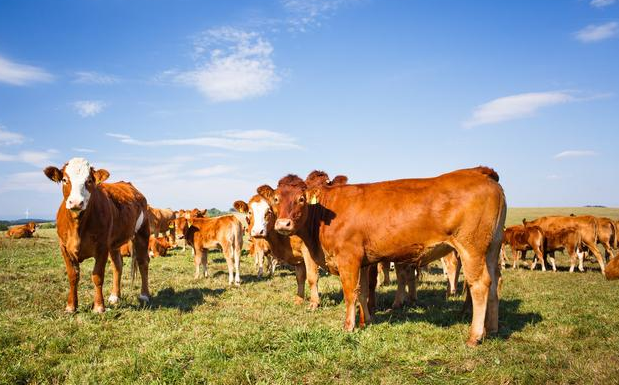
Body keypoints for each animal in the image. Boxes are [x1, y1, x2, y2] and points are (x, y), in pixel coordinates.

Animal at [44, 158, 151, 310]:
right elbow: (73, 276)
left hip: (142, 232)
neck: (78, 226)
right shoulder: (64, 247)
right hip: (114, 243)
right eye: (64, 179)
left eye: (89, 180)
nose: (76, 202)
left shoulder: (102, 246)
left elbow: (97, 276)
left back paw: (144, 295)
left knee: (143, 262)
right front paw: (71, 306)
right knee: (117, 265)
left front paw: (99, 306)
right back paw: (115, 296)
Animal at [266, 166, 504, 346]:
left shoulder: (348, 258)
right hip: (492, 248)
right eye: (276, 199)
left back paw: (475, 336)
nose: (283, 224)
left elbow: (350, 293)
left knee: (479, 285)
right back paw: (492, 329)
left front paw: (349, 326)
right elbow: (362, 292)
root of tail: (479, 172)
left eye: (301, 199)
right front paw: (367, 321)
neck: (324, 213)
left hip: (471, 248)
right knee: (493, 283)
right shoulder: (362, 262)